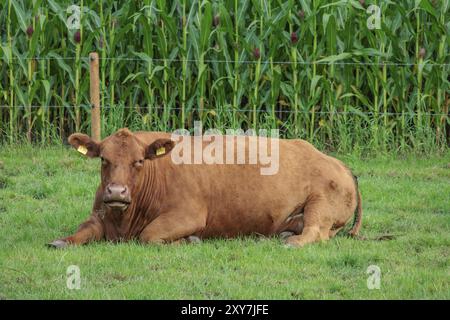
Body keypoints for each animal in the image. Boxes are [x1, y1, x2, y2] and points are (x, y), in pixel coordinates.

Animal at [48, 129, 362, 249]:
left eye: (139, 161)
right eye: (104, 159)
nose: (116, 192)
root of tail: (339, 163)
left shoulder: (188, 215)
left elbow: (149, 236)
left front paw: (188, 241)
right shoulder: (99, 214)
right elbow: (84, 230)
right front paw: (61, 240)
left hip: (321, 204)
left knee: (316, 233)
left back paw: (290, 242)